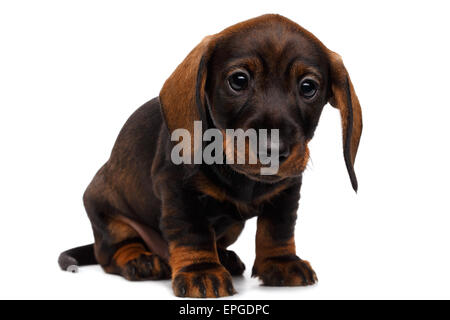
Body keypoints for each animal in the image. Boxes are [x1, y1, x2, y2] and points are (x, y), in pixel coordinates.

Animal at [59, 13, 362, 298]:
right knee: (112, 251)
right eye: (238, 80)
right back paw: (140, 260)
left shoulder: (286, 191)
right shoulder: (179, 191)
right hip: (105, 211)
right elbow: (193, 233)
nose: (274, 149)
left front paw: (281, 262)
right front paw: (201, 272)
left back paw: (225, 258)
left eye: (308, 87)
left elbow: (278, 228)